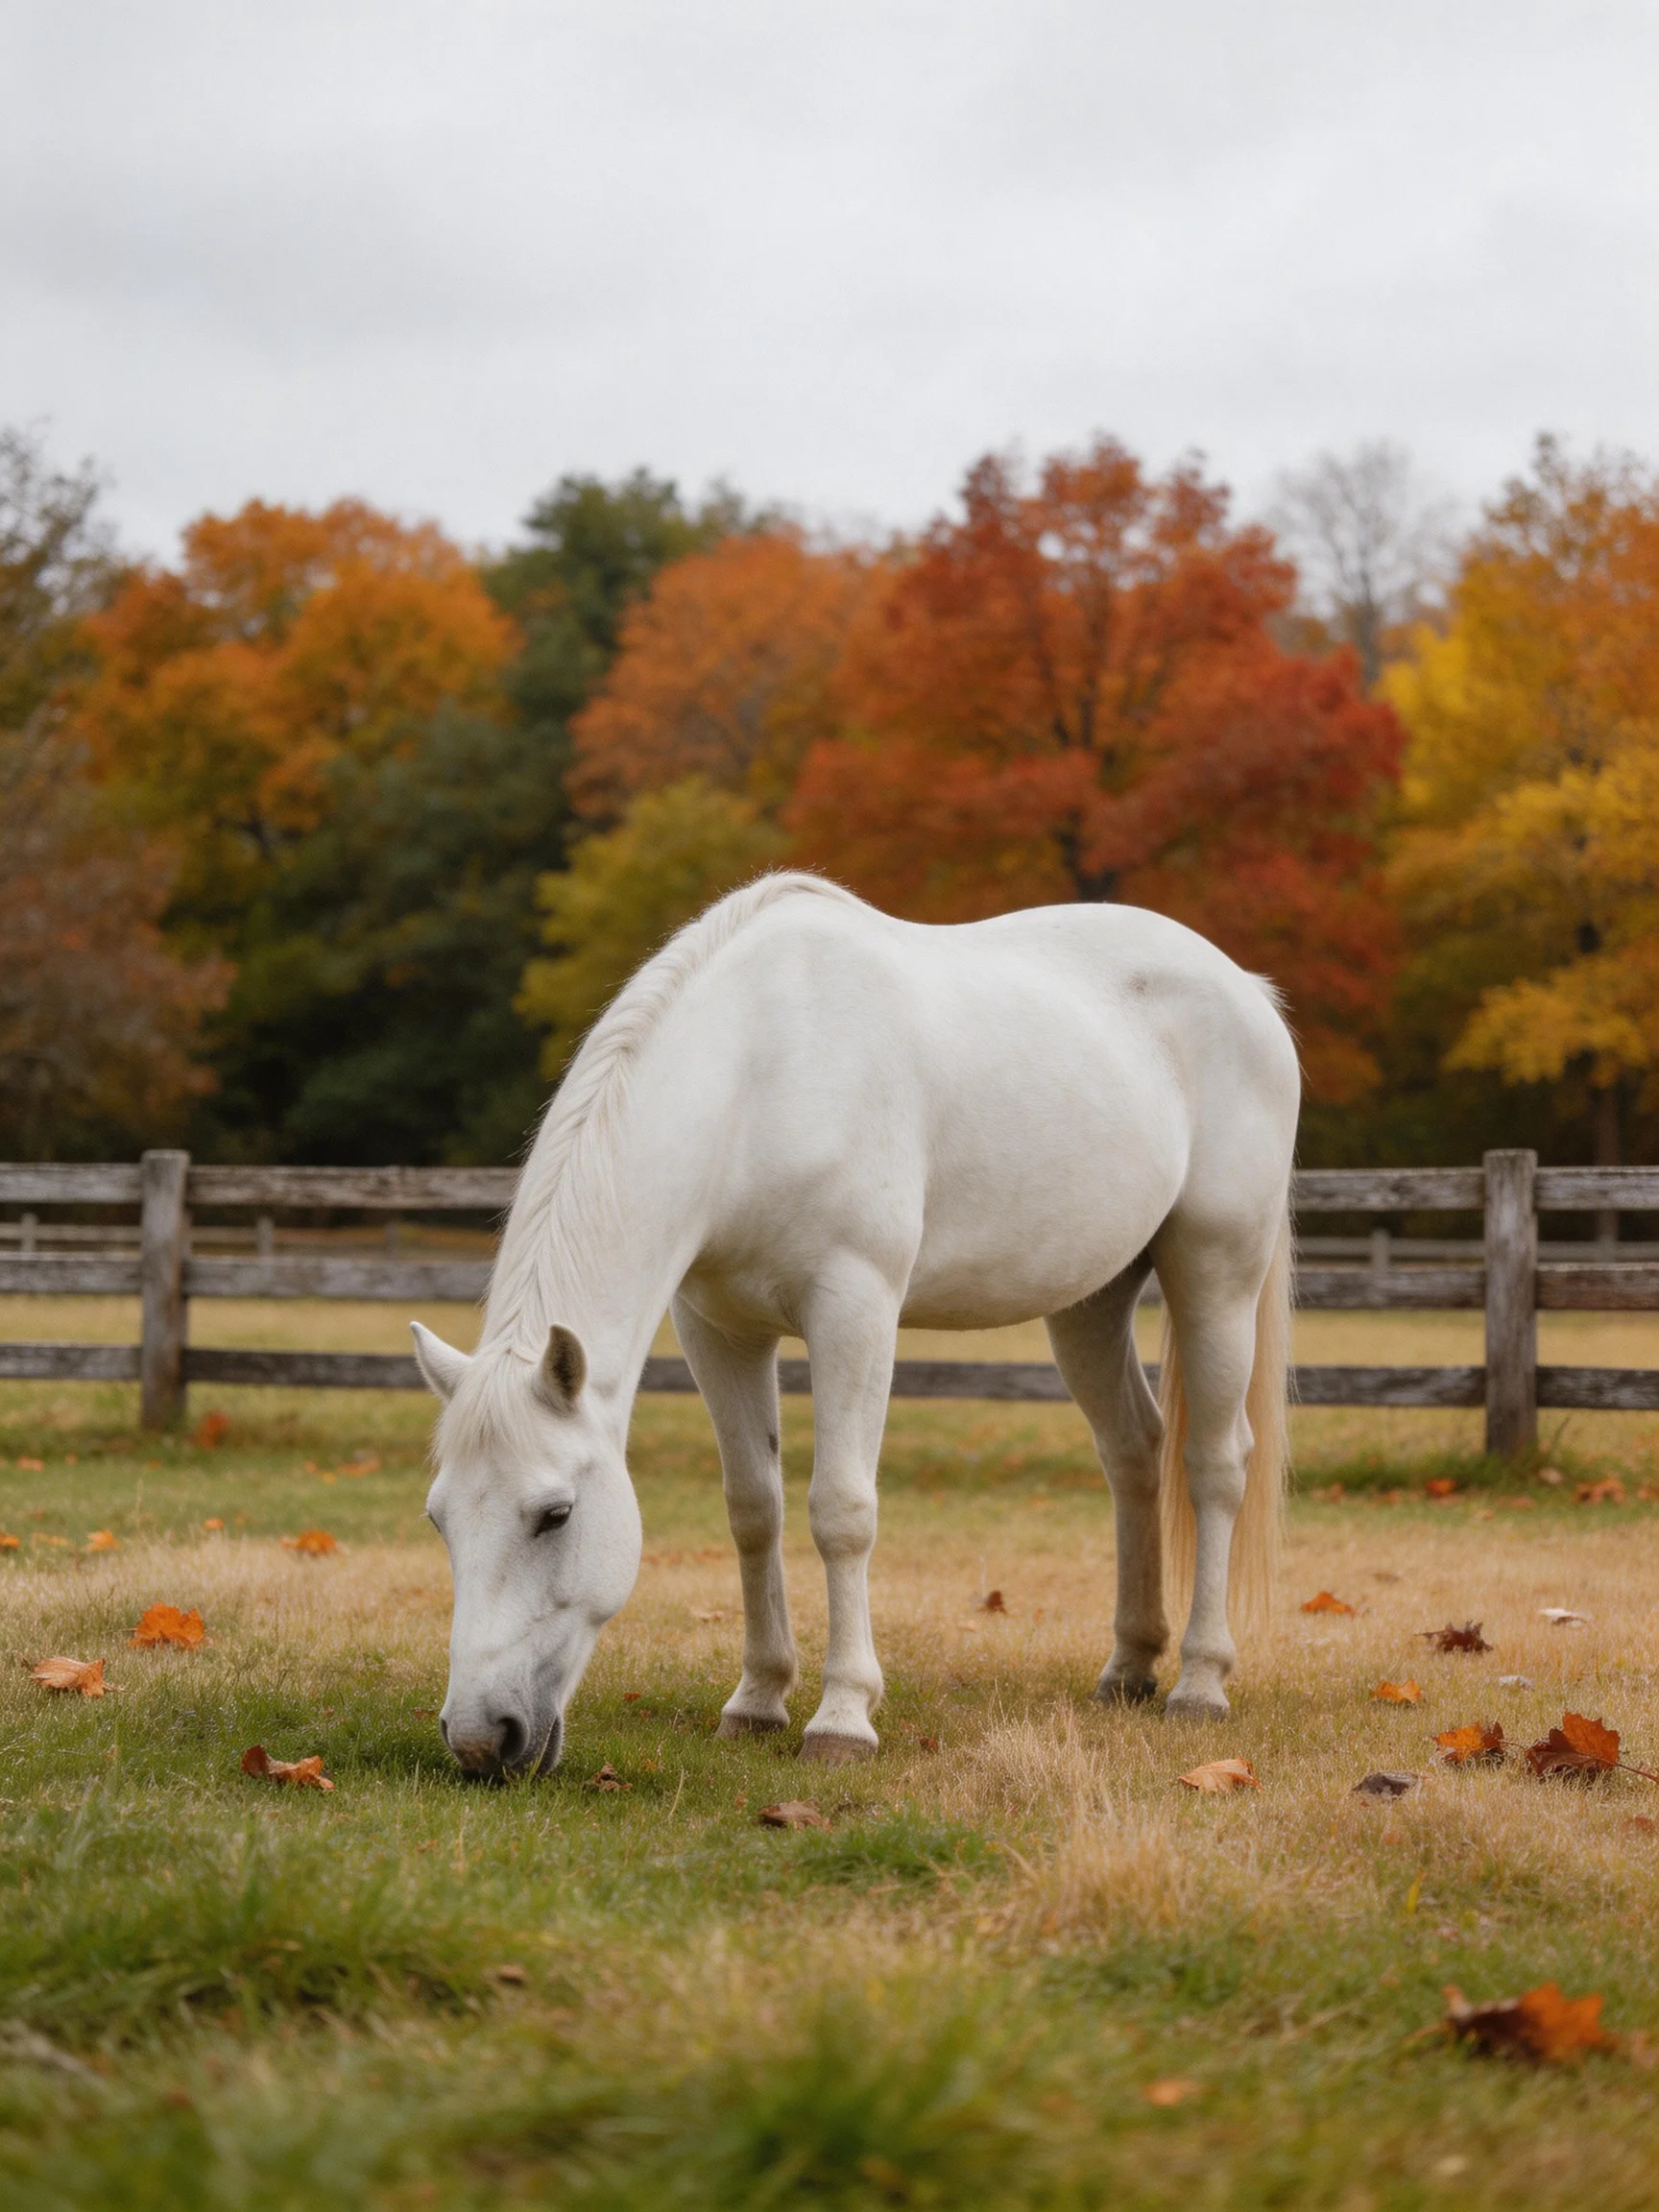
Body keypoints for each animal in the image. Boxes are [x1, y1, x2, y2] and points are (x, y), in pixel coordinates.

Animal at [413, 872, 1298, 1779]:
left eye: (555, 1514)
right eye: (440, 1518)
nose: (482, 1739)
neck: (758, 1073)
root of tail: (1247, 991)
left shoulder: (855, 1309)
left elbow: (841, 1511)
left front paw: (842, 1718)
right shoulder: (718, 1330)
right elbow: (753, 1508)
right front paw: (757, 1700)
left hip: (1217, 1273)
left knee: (1214, 1466)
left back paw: (1199, 1683)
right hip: (1090, 1303)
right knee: (1134, 1454)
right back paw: (1128, 1667)